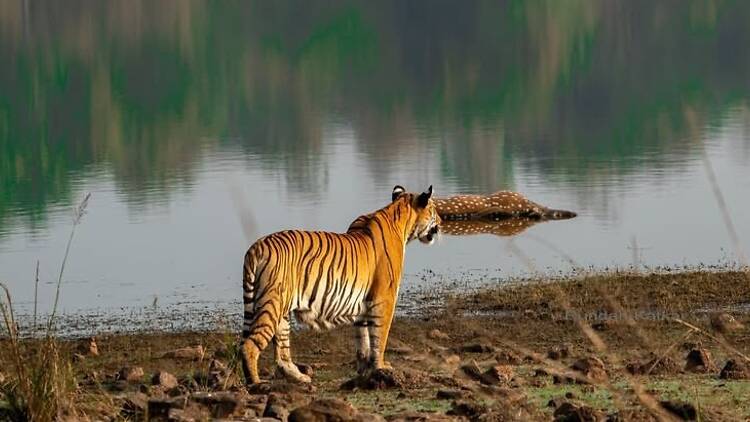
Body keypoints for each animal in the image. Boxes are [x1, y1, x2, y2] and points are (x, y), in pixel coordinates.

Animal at [240, 185, 440, 385]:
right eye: (433, 210)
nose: (440, 222)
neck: (400, 218)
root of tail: (256, 247)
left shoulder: (363, 304)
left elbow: (363, 340)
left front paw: (364, 370)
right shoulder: (385, 299)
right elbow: (380, 337)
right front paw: (381, 367)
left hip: (281, 313)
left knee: (280, 352)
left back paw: (300, 377)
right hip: (271, 305)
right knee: (249, 346)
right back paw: (256, 384)